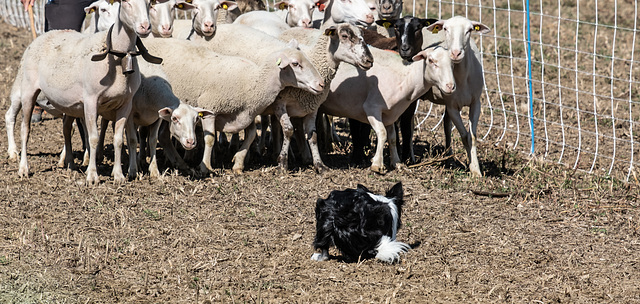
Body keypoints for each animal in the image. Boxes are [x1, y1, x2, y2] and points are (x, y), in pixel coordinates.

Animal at [5, 0, 156, 185]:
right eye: (126, 3)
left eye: (149, 3)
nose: (145, 27)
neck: (117, 56)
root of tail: (42, 35)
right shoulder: (91, 100)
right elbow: (93, 138)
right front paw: (92, 176)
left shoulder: (125, 104)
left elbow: (119, 139)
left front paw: (119, 176)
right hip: (27, 90)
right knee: (24, 129)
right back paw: (23, 167)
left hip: (67, 103)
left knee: (66, 128)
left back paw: (69, 164)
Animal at [138, 37, 322, 176]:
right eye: (296, 64)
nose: (320, 84)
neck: (254, 81)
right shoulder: (210, 108)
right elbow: (210, 138)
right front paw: (205, 167)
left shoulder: (247, 113)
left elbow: (251, 135)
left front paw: (238, 163)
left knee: (163, 136)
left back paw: (180, 163)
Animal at [320, 45, 456, 173]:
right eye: (431, 60)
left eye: (452, 63)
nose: (451, 86)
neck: (405, 78)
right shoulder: (372, 108)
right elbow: (382, 133)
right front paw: (377, 164)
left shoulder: (390, 114)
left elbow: (392, 138)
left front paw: (396, 162)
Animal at [420, 16, 490, 178]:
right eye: (445, 29)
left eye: (469, 30)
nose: (456, 53)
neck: (462, 78)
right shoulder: (452, 107)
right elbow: (464, 136)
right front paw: (472, 166)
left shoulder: (476, 103)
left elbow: (472, 137)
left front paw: (476, 169)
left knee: (446, 124)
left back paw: (449, 156)